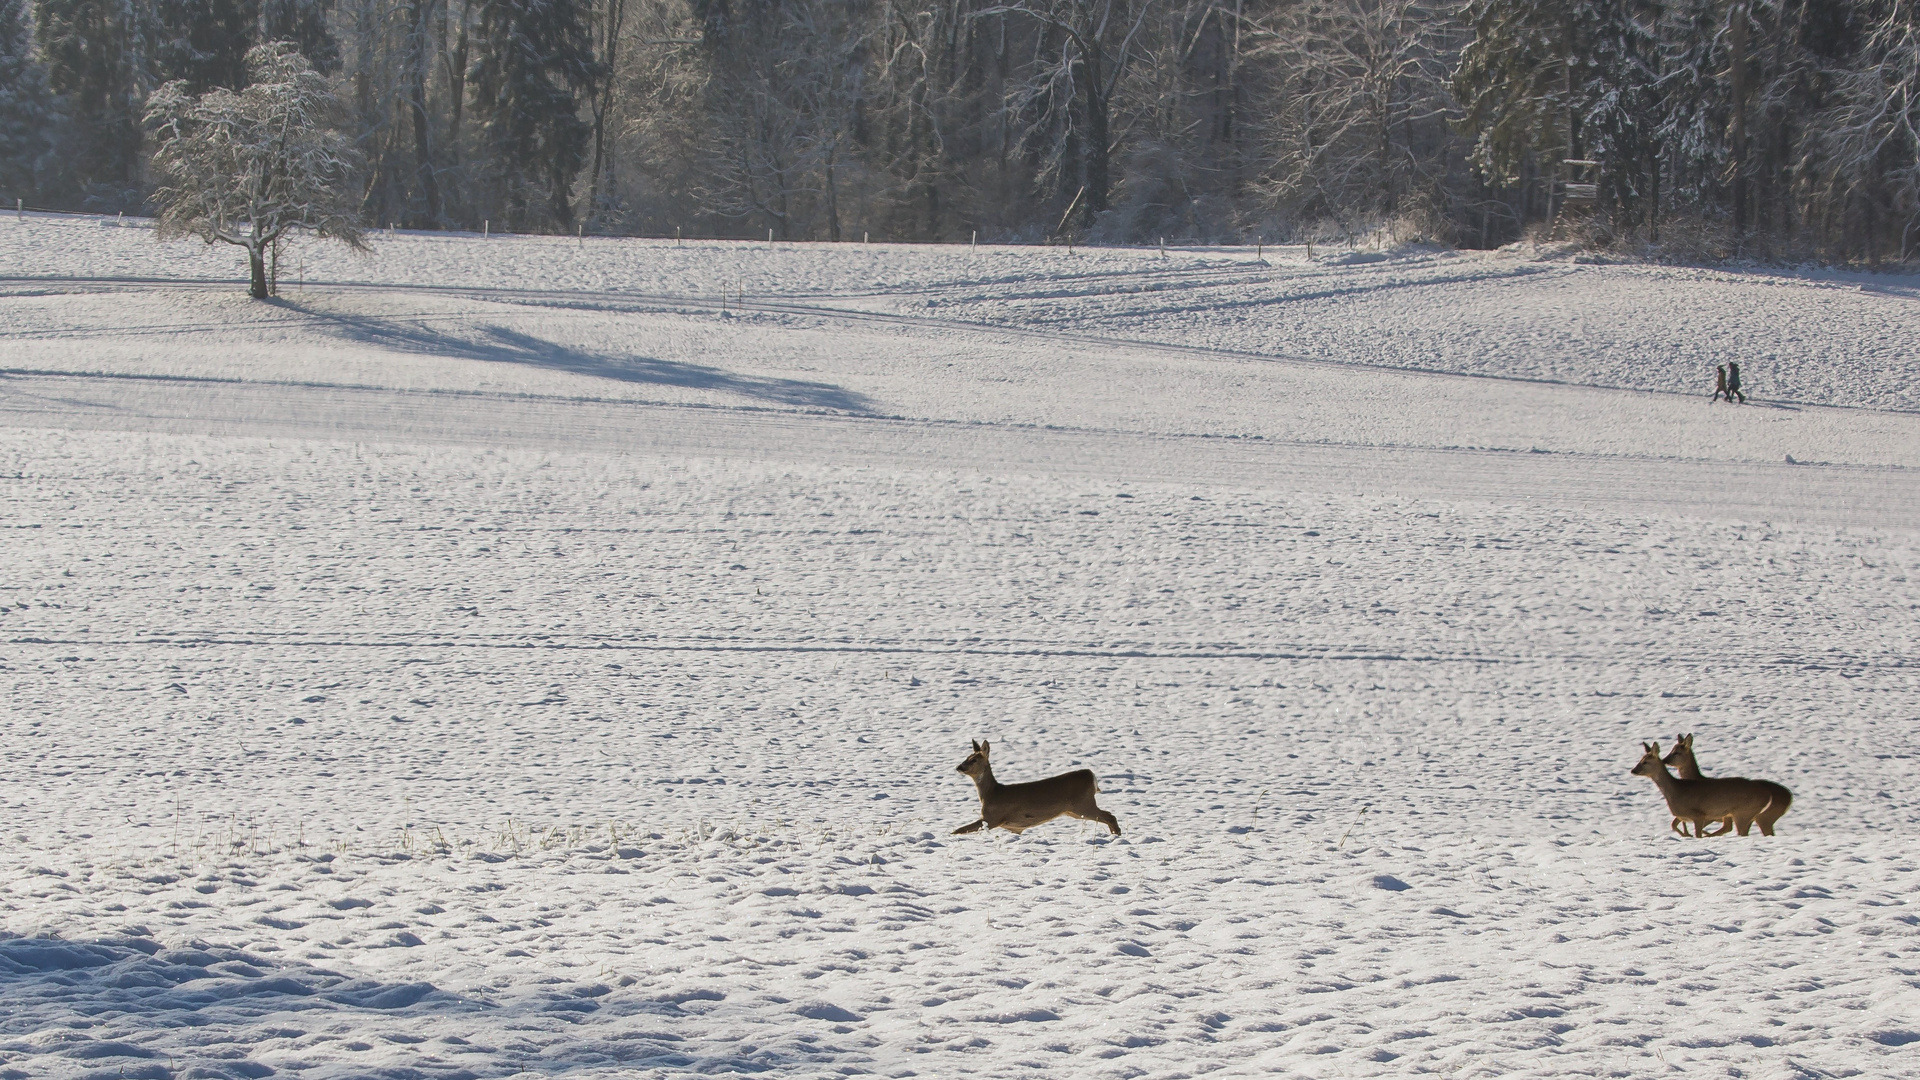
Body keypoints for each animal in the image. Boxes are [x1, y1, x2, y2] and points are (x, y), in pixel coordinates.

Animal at [948, 734, 1121, 837]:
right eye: (966, 757)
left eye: (974, 760)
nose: (959, 767)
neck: (990, 794)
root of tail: (1091, 776)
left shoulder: (991, 819)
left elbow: (959, 830)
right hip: (1074, 810)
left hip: (1083, 804)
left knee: (1109, 815)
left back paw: (1117, 835)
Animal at [1628, 734, 1789, 837]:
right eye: (1640, 760)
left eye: (1645, 762)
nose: (1633, 770)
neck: (1676, 790)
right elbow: (1675, 825)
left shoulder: (1700, 815)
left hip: (1744, 813)